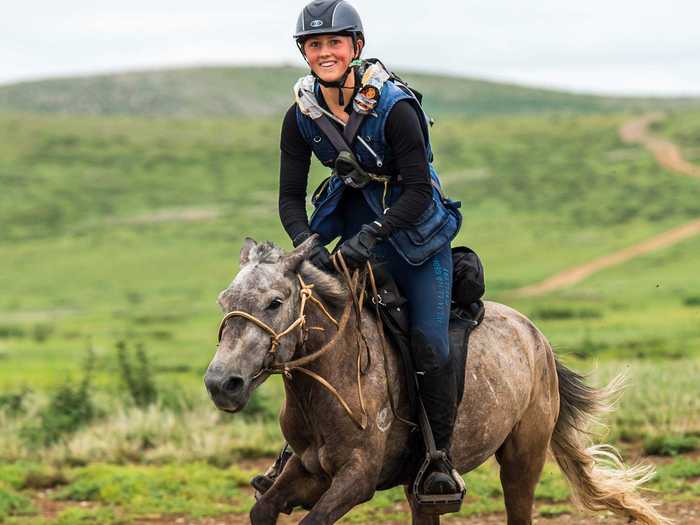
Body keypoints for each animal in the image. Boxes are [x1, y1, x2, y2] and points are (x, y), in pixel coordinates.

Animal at [204, 238, 668, 524]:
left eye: (274, 302)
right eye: (224, 302)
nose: (221, 383)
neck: (332, 378)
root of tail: (537, 339)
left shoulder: (356, 479)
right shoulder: (307, 470)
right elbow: (263, 509)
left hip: (523, 459)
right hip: (421, 488)